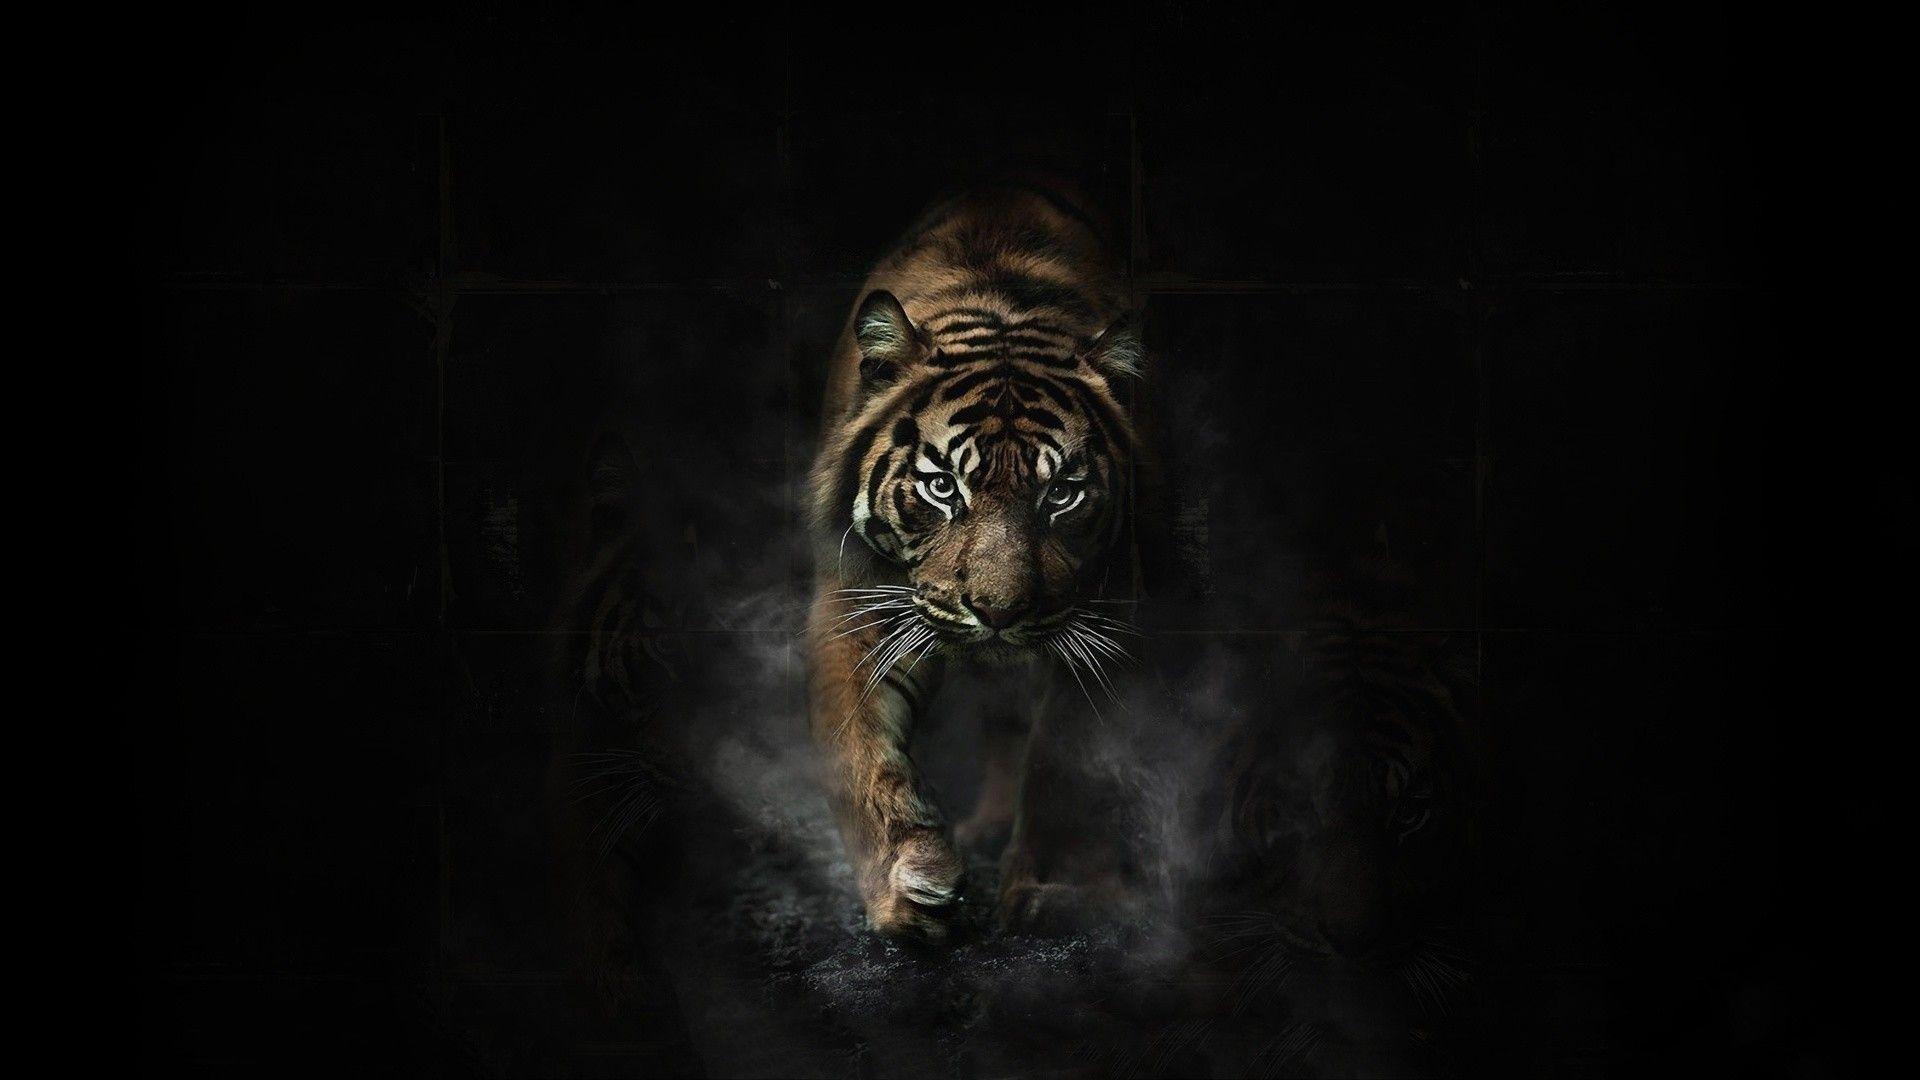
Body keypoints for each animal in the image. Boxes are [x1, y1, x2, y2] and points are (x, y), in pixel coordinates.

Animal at [804, 181, 1147, 942]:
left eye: (1062, 493)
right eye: (942, 487)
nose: (997, 610)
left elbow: (1065, 759)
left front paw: (1052, 891)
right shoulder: (857, 599)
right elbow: (858, 752)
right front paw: (908, 887)